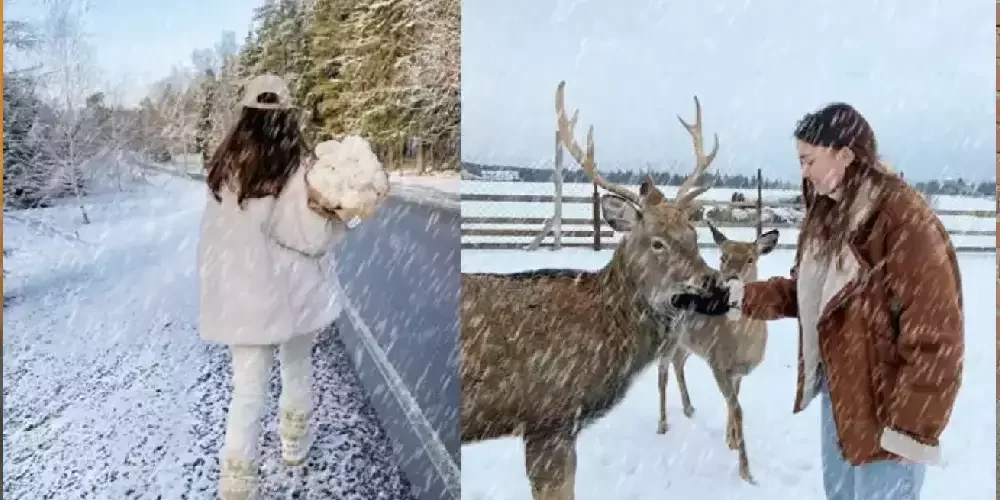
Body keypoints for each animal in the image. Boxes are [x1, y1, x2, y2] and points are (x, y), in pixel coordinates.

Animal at [656, 222, 780, 484]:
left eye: (751, 258)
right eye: (723, 257)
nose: (730, 278)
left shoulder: (737, 372)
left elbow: (734, 404)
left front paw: (730, 439)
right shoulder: (717, 363)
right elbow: (738, 409)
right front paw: (746, 472)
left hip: (689, 343)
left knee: (677, 362)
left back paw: (689, 408)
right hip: (669, 336)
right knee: (662, 371)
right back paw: (662, 424)